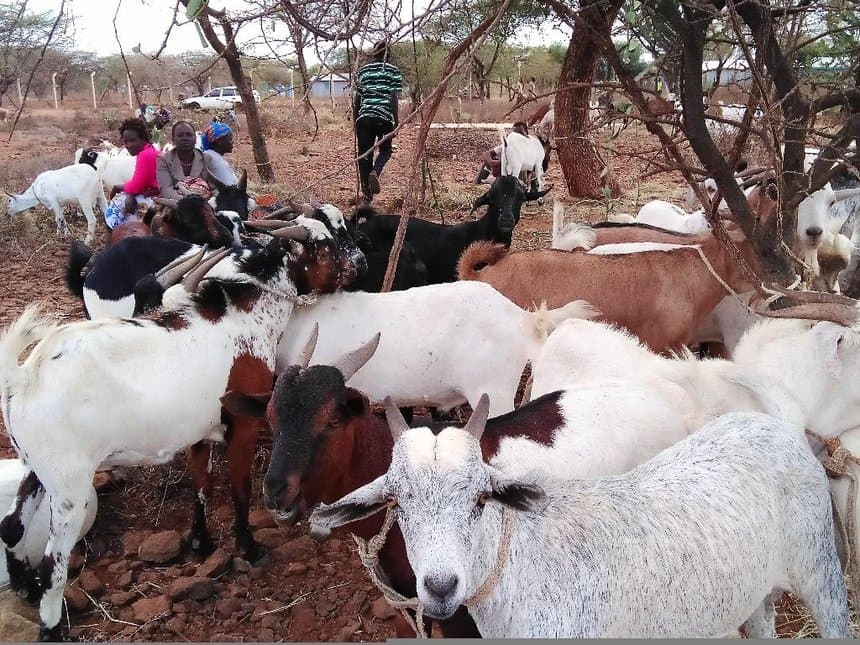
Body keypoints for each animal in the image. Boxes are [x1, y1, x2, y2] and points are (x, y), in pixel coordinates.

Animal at [0, 219, 364, 640]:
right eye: (325, 246)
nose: (359, 264)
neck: (239, 317)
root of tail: (26, 374)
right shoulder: (243, 421)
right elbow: (240, 487)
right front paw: (248, 547)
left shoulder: (200, 431)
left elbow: (201, 487)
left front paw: (201, 544)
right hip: (69, 485)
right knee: (52, 564)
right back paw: (50, 627)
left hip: (35, 466)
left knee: (11, 528)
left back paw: (24, 589)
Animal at [312, 403, 849, 638]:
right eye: (398, 505)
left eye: (481, 501)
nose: (441, 587)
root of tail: (776, 425)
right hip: (753, 593)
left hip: (821, 570)